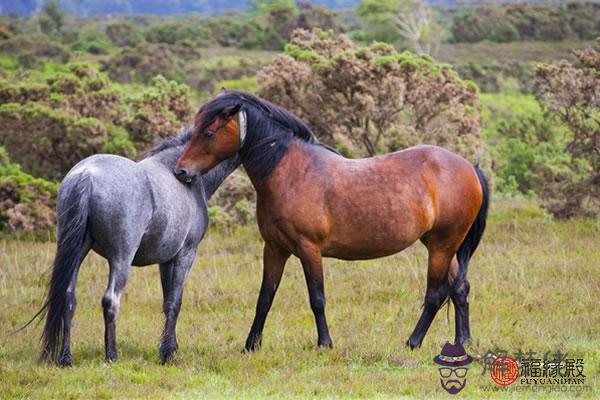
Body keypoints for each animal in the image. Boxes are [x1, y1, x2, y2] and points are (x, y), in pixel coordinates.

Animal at [28, 129, 239, 366]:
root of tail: (87, 175)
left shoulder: (166, 260)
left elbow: (167, 301)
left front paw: (168, 348)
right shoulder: (186, 254)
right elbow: (175, 302)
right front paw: (168, 354)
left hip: (76, 253)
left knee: (68, 298)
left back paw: (66, 358)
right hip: (121, 258)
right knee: (110, 300)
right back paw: (112, 355)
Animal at [173, 90, 488, 350]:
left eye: (209, 132)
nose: (181, 171)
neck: (291, 172)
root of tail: (469, 167)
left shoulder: (309, 249)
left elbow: (317, 298)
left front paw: (324, 343)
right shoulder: (274, 249)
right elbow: (264, 299)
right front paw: (251, 345)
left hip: (442, 245)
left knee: (436, 294)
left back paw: (413, 342)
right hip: (442, 245)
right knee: (460, 288)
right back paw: (462, 342)